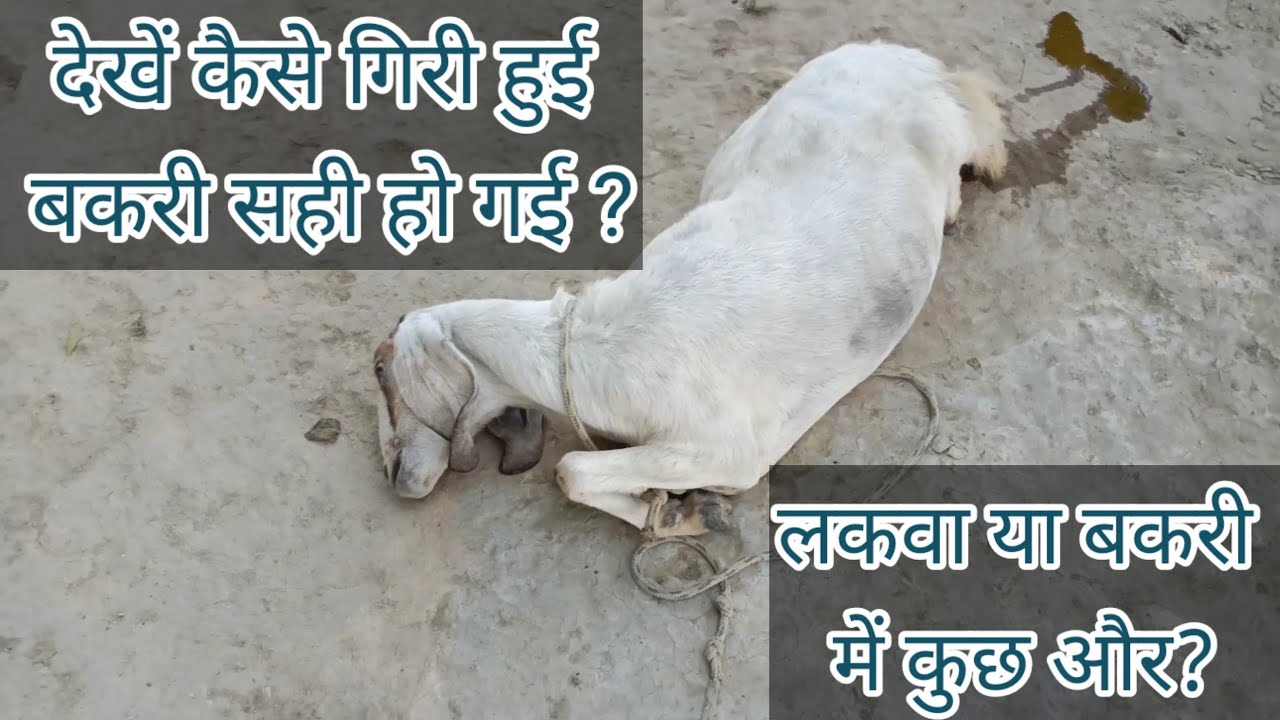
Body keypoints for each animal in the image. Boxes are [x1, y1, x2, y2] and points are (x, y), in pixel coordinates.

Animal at [373, 41, 1007, 537]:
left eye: (381, 373)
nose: (395, 477)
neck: (593, 347)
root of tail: (909, 58)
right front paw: (675, 513)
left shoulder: (730, 449)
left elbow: (569, 468)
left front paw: (685, 510)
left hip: (949, 132)